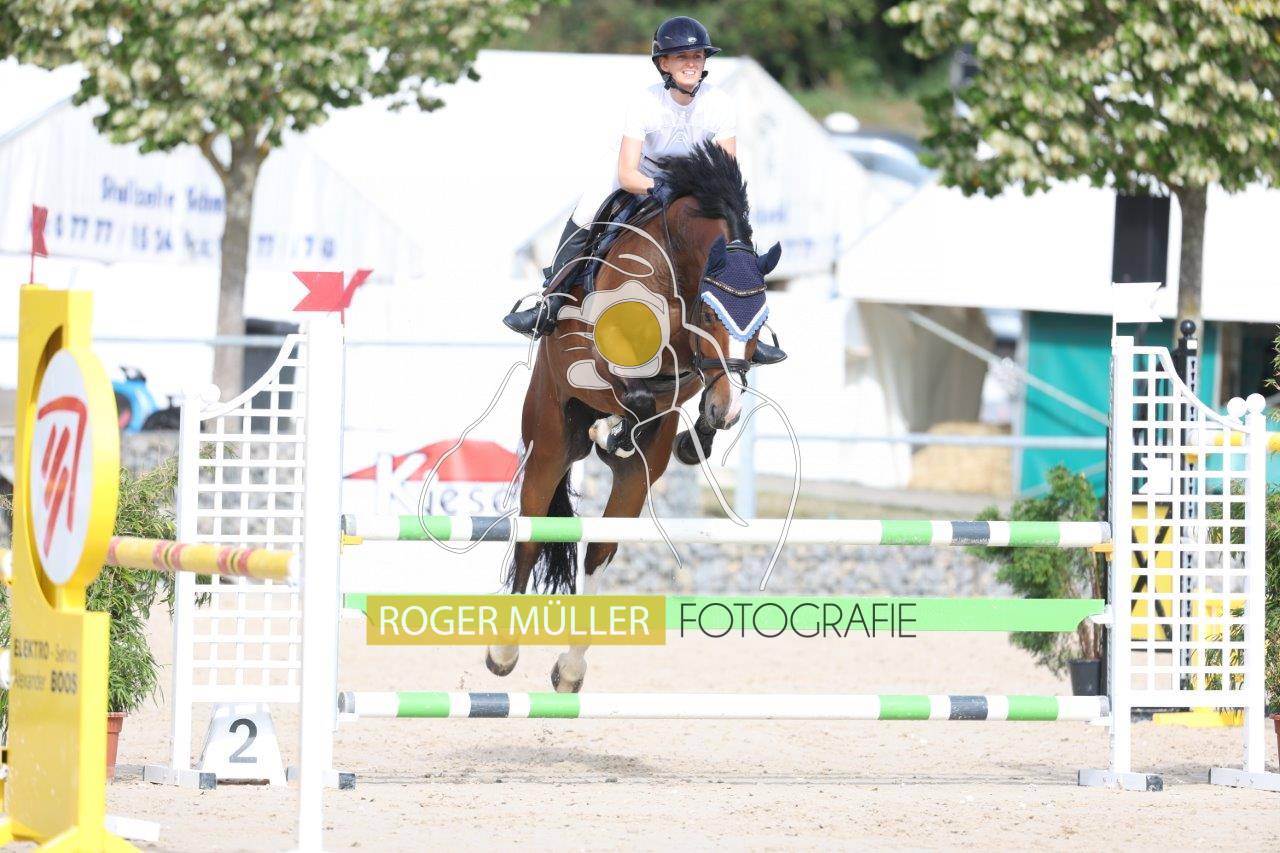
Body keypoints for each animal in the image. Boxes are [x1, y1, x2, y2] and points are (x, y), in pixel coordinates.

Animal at [486, 141, 783, 692]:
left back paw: (570, 668)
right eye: (710, 313)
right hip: (548, 440)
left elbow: (678, 391)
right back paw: (503, 652)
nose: (730, 412)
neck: (675, 270)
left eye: (760, 322)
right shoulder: (604, 358)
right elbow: (634, 387)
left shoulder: (691, 376)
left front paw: (697, 434)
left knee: (600, 548)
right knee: (532, 536)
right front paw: (620, 425)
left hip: (635, 482)